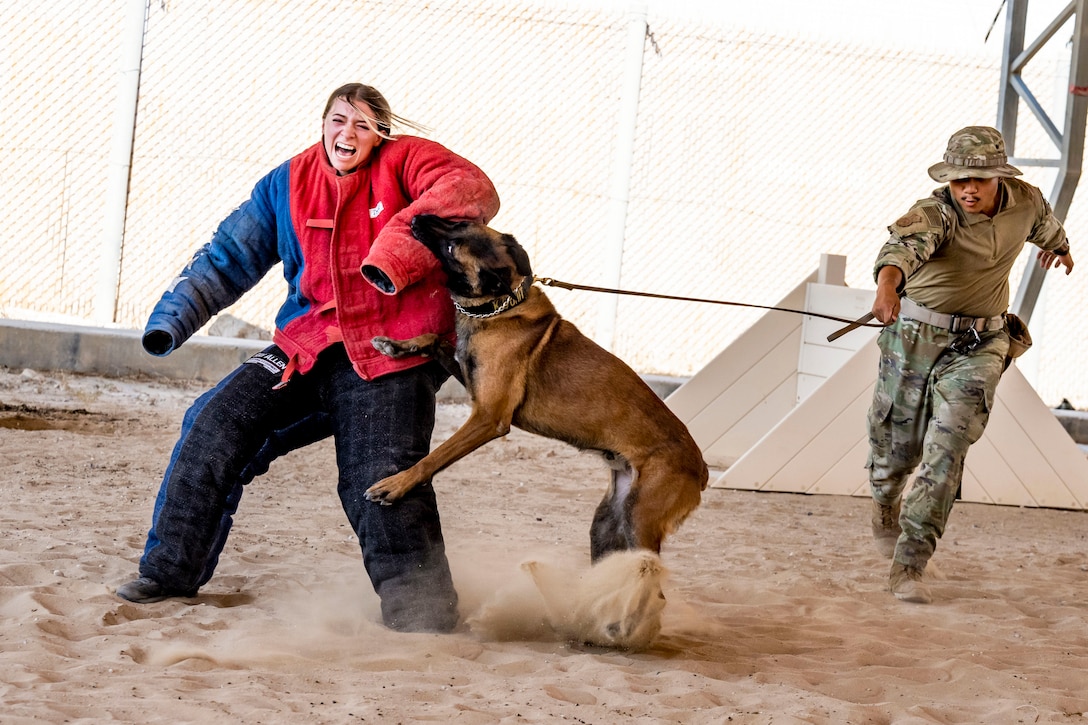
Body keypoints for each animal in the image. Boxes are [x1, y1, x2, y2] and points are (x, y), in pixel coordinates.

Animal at [367, 214, 705, 557]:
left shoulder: (488, 417)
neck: (500, 307)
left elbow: (434, 456)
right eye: (457, 221)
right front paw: (395, 346)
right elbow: (434, 338)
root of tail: (701, 468)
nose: (416, 217)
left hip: (637, 521)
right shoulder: (472, 382)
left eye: (452, 247)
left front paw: (397, 484)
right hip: (607, 524)